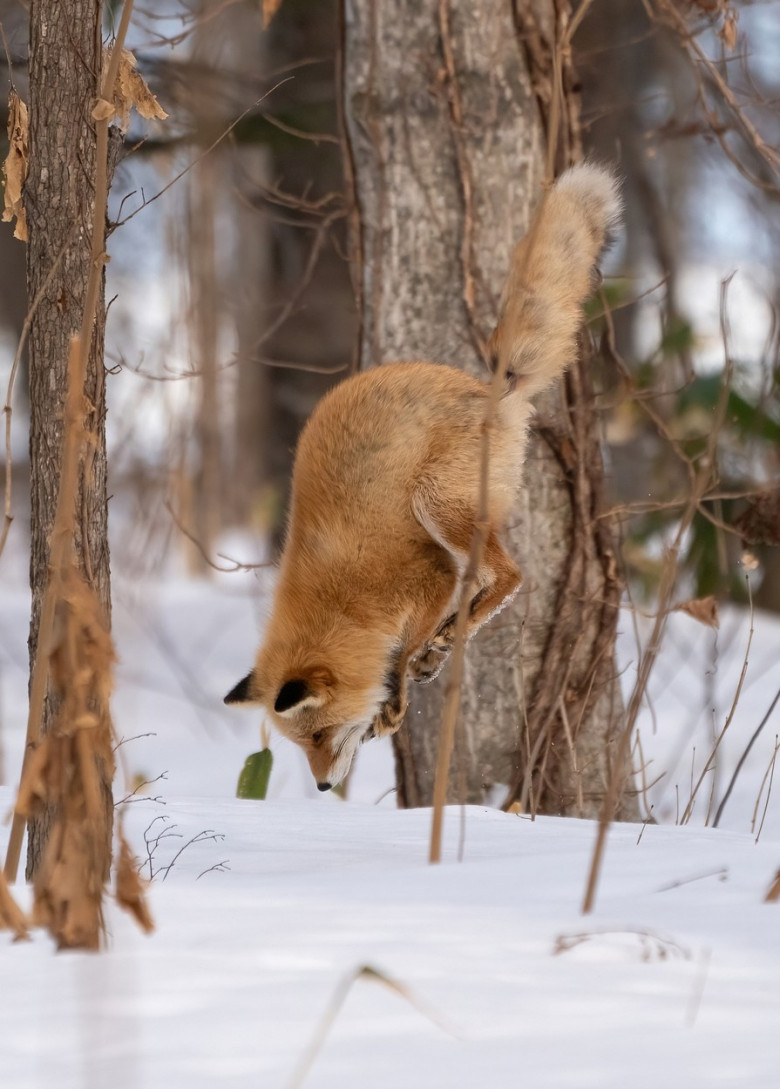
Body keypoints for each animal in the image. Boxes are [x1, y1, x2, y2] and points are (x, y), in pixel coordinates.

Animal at [225, 161, 623, 792]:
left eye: (317, 736)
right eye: (300, 746)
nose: (322, 786)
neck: (342, 603)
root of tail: (488, 386)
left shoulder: (427, 577)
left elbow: (405, 647)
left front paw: (397, 693)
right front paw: (397, 693)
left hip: (435, 504)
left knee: (510, 575)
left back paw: (449, 637)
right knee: (487, 578)